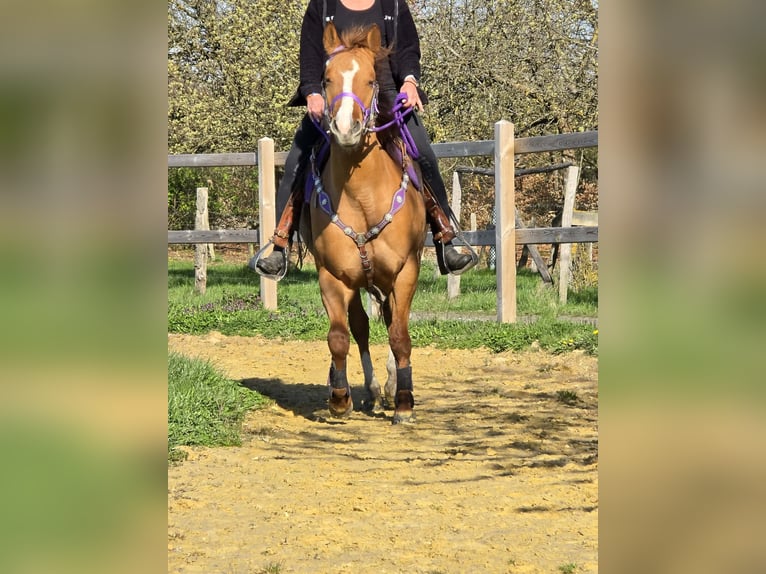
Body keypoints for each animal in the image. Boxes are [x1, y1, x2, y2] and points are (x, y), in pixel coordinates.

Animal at [298, 22, 426, 424]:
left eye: (371, 79)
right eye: (326, 79)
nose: (344, 128)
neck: (362, 197)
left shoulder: (405, 271)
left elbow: (400, 334)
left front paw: (404, 402)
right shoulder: (333, 276)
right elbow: (340, 336)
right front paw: (340, 398)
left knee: (391, 322)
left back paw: (390, 388)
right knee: (362, 327)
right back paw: (368, 390)